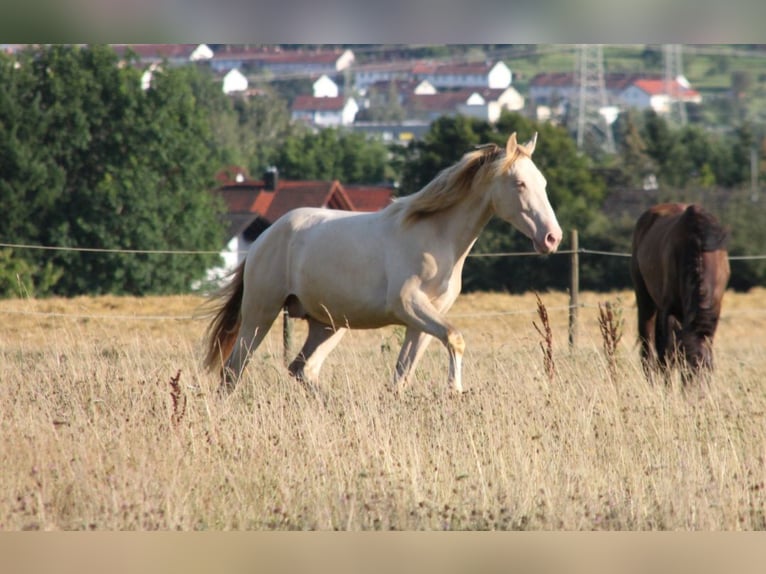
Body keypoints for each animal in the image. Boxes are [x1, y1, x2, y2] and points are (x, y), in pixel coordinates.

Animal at [206, 133, 564, 398]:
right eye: (519, 183)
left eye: (544, 183)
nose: (552, 237)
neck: (437, 237)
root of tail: (264, 239)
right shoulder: (409, 305)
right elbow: (455, 338)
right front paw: (455, 389)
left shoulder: (422, 321)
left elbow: (402, 376)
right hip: (261, 314)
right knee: (233, 370)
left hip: (328, 325)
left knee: (302, 369)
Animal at [632, 202, 736, 382]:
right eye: (686, 371)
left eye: (707, 372)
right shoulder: (671, 310)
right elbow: (668, 354)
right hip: (645, 299)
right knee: (648, 344)